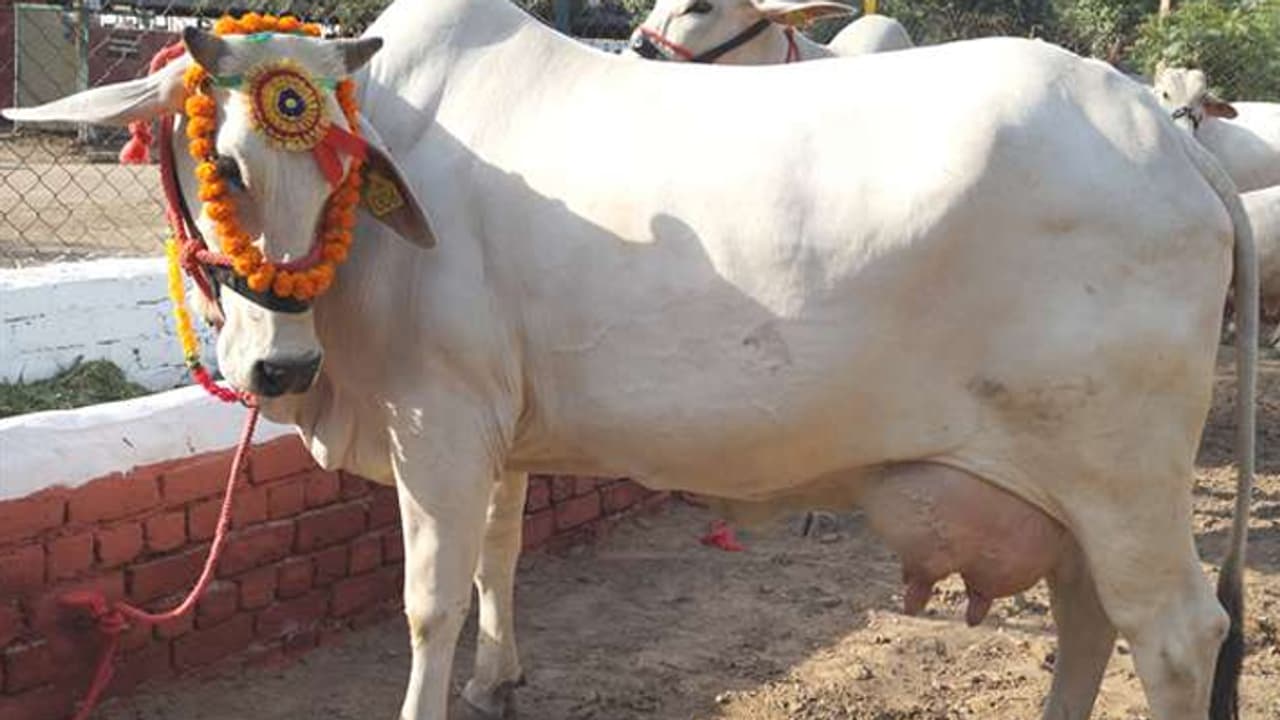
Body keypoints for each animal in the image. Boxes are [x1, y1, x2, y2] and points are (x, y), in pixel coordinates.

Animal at [4, 1, 1257, 719]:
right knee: (1090, 620)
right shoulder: (497, 433)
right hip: (1069, 490)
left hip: (1119, 476)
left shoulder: (437, 424)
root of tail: (1165, 140)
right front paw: (499, 678)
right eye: (214, 158)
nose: (277, 372)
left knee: (1175, 636)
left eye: (332, 166)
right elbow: (497, 558)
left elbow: (427, 601)